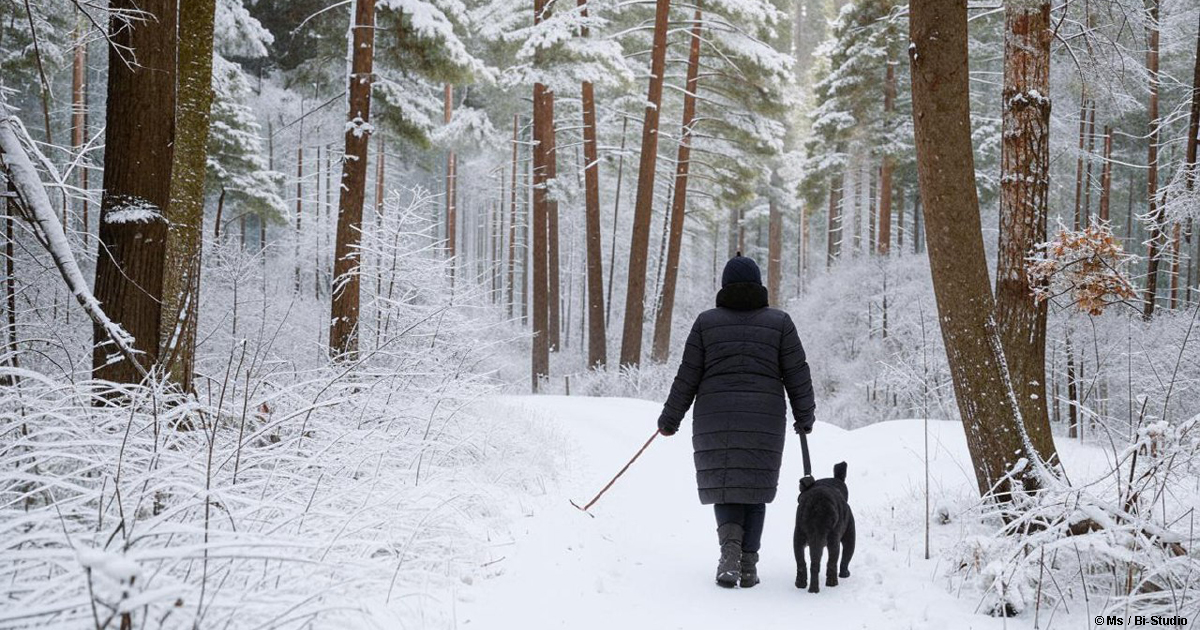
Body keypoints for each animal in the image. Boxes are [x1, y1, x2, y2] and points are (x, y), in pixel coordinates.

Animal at [796, 458, 854, 592]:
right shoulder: (849, 533)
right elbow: (846, 556)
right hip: (835, 538)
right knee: (834, 560)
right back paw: (833, 581)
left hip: (799, 535)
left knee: (802, 561)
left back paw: (802, 584)